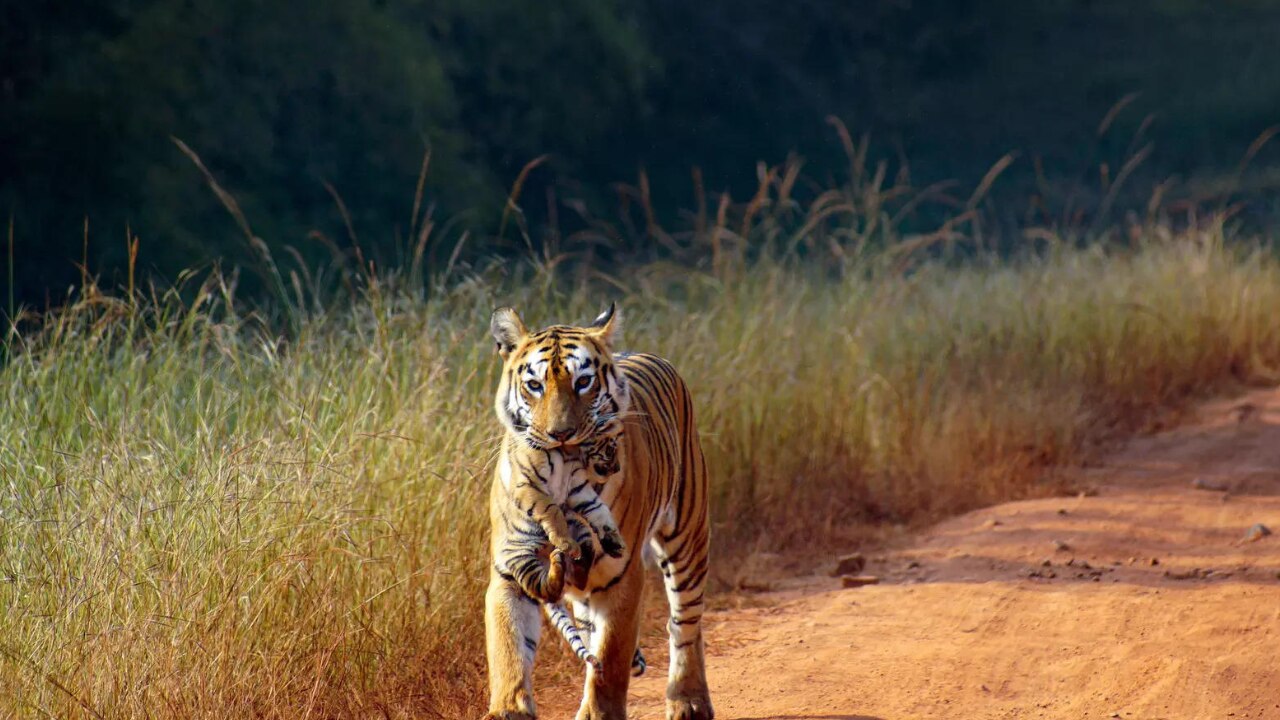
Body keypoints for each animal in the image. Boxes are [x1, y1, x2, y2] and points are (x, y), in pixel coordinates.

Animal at [483, 302, 716, 717]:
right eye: (534, 385)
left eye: (583, 382)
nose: (560, 435)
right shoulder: (509, 570)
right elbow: (509, 650)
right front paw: (509, 709)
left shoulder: (622, 576)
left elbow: (609, 659)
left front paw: (597, 712)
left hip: (687, 535)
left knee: (684, 623)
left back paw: (688, 700)